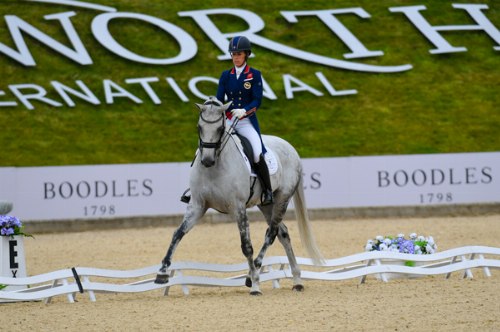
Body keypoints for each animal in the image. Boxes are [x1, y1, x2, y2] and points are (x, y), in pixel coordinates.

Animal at [155, 96, 324, 296]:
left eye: (220, 129)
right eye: (199, 127)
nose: (207, 161)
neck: (215, 167)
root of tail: (289, 146)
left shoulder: (238, 207)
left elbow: (246, 245)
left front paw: (256, 285)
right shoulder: (197, 205)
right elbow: (177, 234)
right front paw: (162, 273)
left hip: (282, 198)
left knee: (271, 233)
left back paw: (254, 275)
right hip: (266, 204)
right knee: (283, 233)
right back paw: (296, 280)